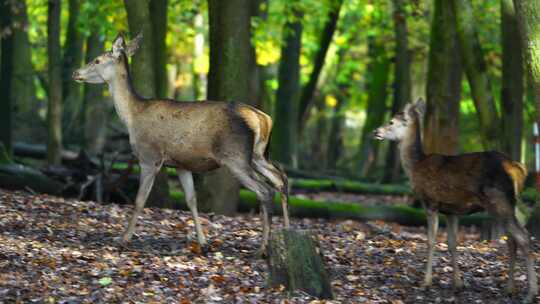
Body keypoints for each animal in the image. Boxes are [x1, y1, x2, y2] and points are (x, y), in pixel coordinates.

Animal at [73, 34, 292, 254]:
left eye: (97, 60)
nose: (76, 72)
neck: (132, 117)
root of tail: (262, 119)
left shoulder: (149, 157)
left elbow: (139, 200)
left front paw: (123, 239)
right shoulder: (181, 164)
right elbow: (191, 200)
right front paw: (203, 242)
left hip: (235, 156)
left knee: (265, 190)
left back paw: (263, 248)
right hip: (258, 155)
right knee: (281, 178)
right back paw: (286, 232)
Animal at [374, 99, 536, 302]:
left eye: (391, 122)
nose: (376, 131)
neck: (416, 167)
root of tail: (517, 168)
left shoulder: (430, 202)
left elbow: (431, 241)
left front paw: (426, 282)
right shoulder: (452, 211)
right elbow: (452, 243)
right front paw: (458, 284)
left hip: (499, 201)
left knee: (523, 237)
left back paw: (530, 294)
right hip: (510, 204)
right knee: (513, 239)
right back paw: (510, 289)